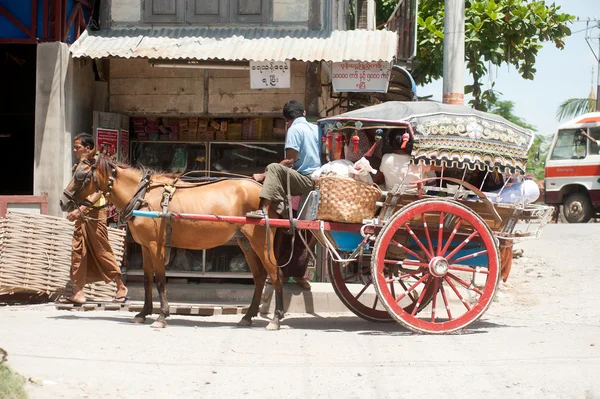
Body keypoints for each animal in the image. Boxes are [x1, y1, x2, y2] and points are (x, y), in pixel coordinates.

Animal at [59, 152, 284, 330]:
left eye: (80, 175)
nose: (62, 201)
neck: (142, 196)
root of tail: (263, 190)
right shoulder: (144, 246)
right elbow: (147, 280)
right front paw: (143, 313)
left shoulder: (155, 245)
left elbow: (160, 280)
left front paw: (162, 315)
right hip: (245, 242)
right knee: (259, 277)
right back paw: (248, 316)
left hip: (261, 240)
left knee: (275, 273)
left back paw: (276, 319)